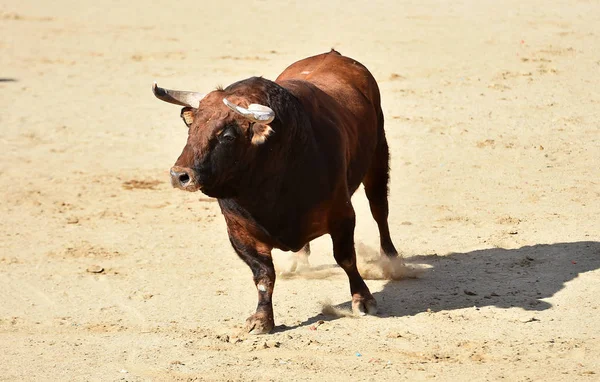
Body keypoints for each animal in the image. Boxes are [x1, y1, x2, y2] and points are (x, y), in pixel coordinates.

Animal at [154, 49, 398, 332]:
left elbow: (346, 258)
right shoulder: (239, 231)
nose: (180, 175)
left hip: (378, 156)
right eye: (192, 129)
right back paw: (299, 262)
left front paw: (364, 300)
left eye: (227, 136)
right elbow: (263, 274)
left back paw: (392, 260)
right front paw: (261, 319)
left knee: (379, 210)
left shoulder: (342, 216)